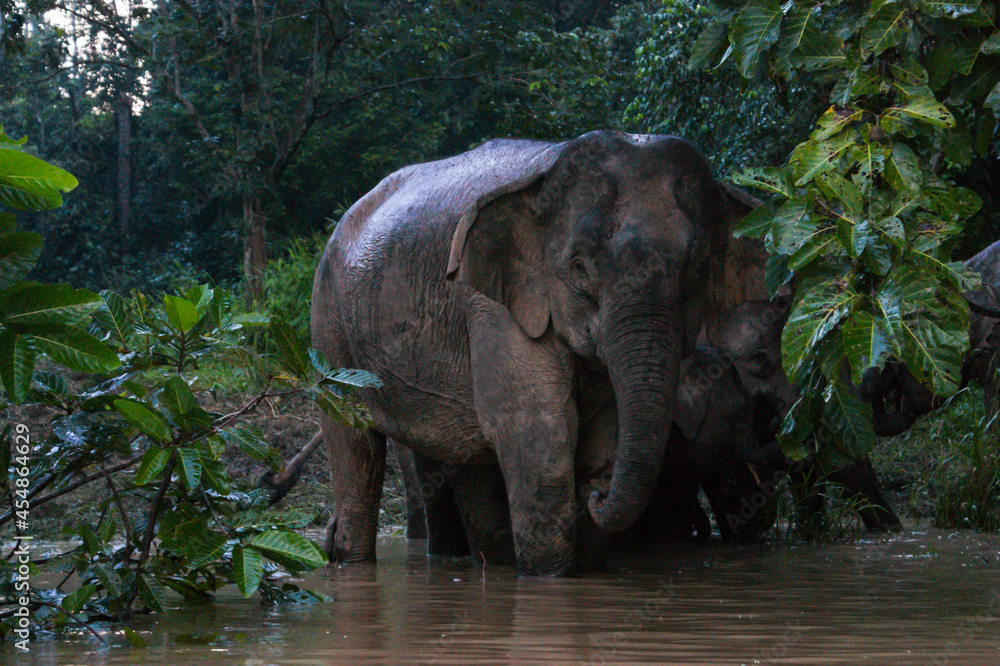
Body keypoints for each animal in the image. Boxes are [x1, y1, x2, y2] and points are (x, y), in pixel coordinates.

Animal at [310, 130, 767, 575]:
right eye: (580, 266)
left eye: (698, 268)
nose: (597, 496)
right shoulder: (496, 306)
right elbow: (538, 432)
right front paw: (549, 579)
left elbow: (607, 430)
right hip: (330, 324)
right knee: (355, 443)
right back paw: (348, 559)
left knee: (468, 462)